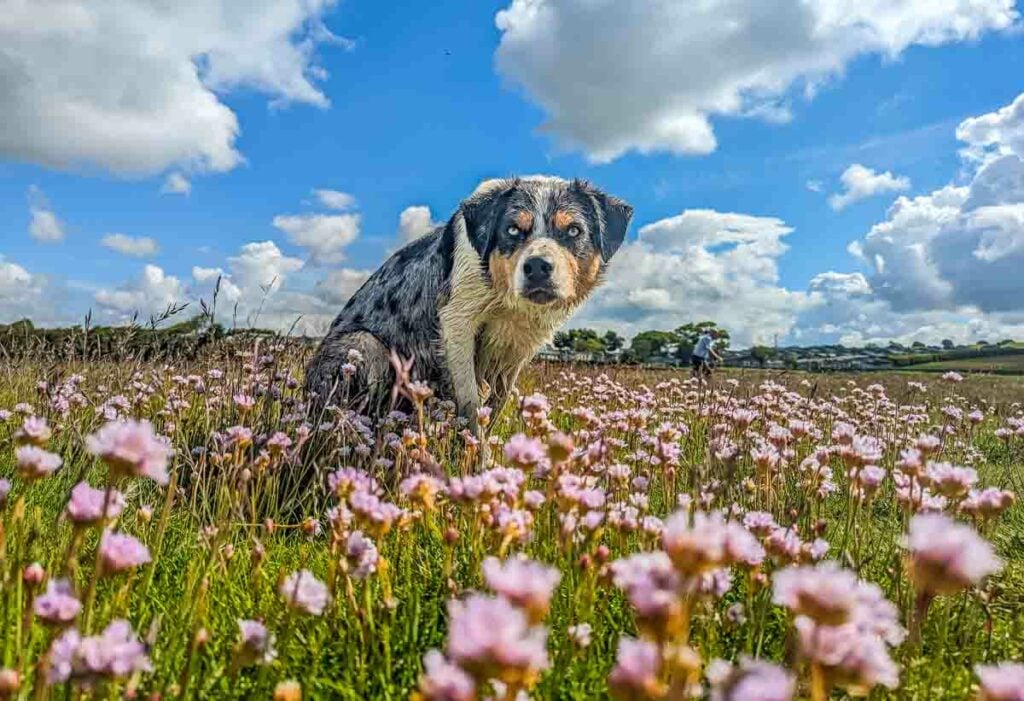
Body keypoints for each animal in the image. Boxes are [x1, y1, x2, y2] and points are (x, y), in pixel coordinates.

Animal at [303, 174, 630, 431]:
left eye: (573, 230)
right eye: (512, 229)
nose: (537, 266)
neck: (506, 302)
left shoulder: (518, 347)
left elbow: (498, 402)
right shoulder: (456, 322)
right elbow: (471, 402)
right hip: (363, 344)